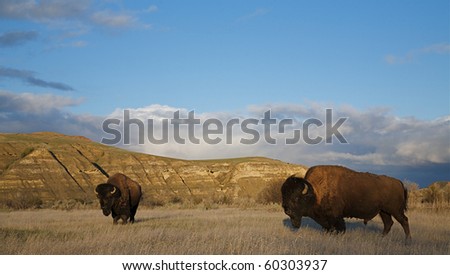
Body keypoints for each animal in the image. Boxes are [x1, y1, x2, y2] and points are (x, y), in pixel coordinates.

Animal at [282, 166, 412, 244]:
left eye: (296, 198)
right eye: (284, 195)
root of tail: (399, 182)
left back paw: (408, 240)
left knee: (404, 221)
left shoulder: (336, 217)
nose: (287, 210)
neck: (314, 192)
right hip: (383, 211)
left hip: (395, 210)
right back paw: (381, 238)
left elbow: (339, 229)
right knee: (388, 223)